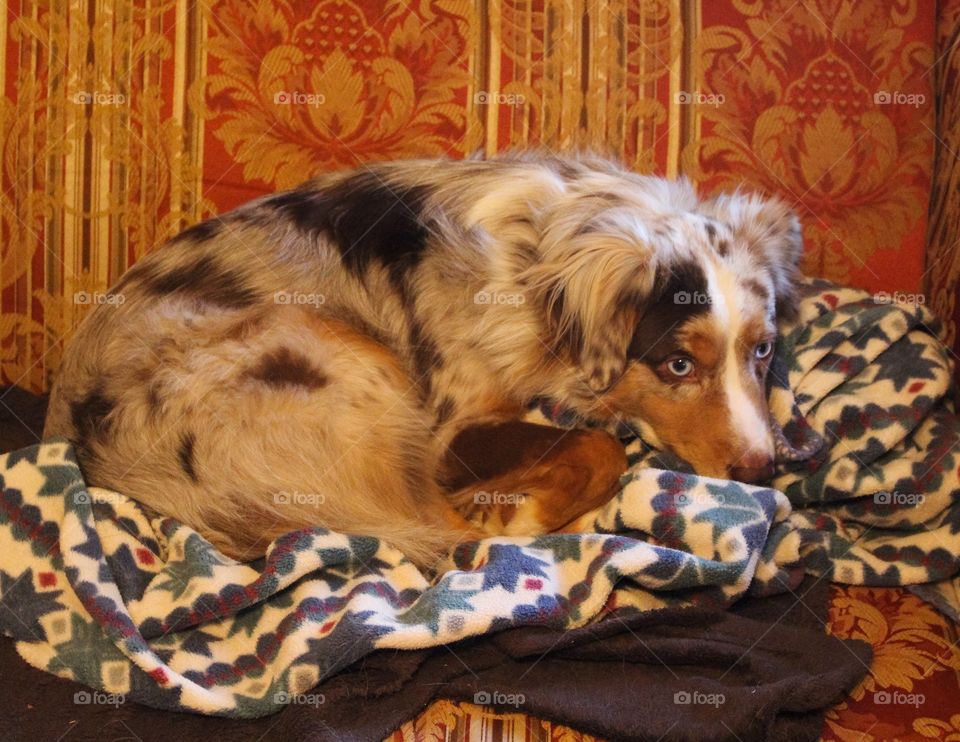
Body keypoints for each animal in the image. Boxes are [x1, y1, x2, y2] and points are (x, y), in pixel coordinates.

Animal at [43, 154, 804, 568]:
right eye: (678, 366)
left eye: (762, 348)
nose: (760, 471)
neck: (535, 265)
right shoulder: (448, 433)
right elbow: (596, 448)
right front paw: (529, 508)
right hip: (332, 350)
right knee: (441, 525)